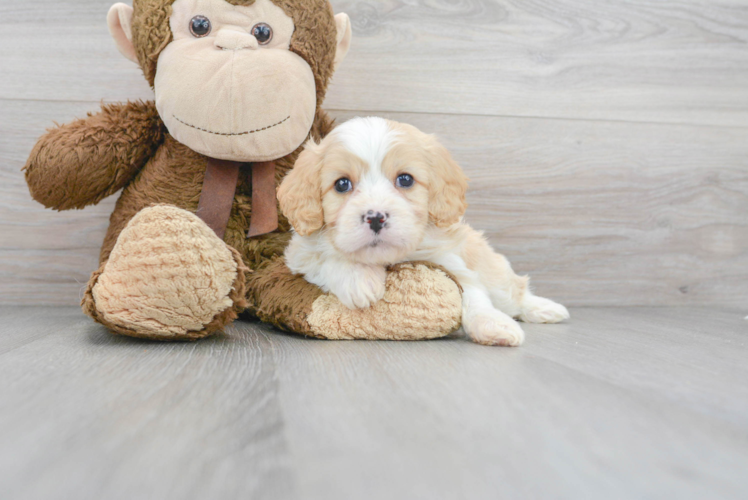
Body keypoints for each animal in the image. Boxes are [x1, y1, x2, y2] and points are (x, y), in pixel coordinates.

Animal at [278, 117, 568, 346]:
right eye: (341, 184)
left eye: (405, 179)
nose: (376, 218)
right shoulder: (299, 255)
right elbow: (326, 256)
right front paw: (357, 278)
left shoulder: (452, 261)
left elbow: (473, 294)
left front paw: (493, 324)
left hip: (494, 274)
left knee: (514, 292)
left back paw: (546, 309)